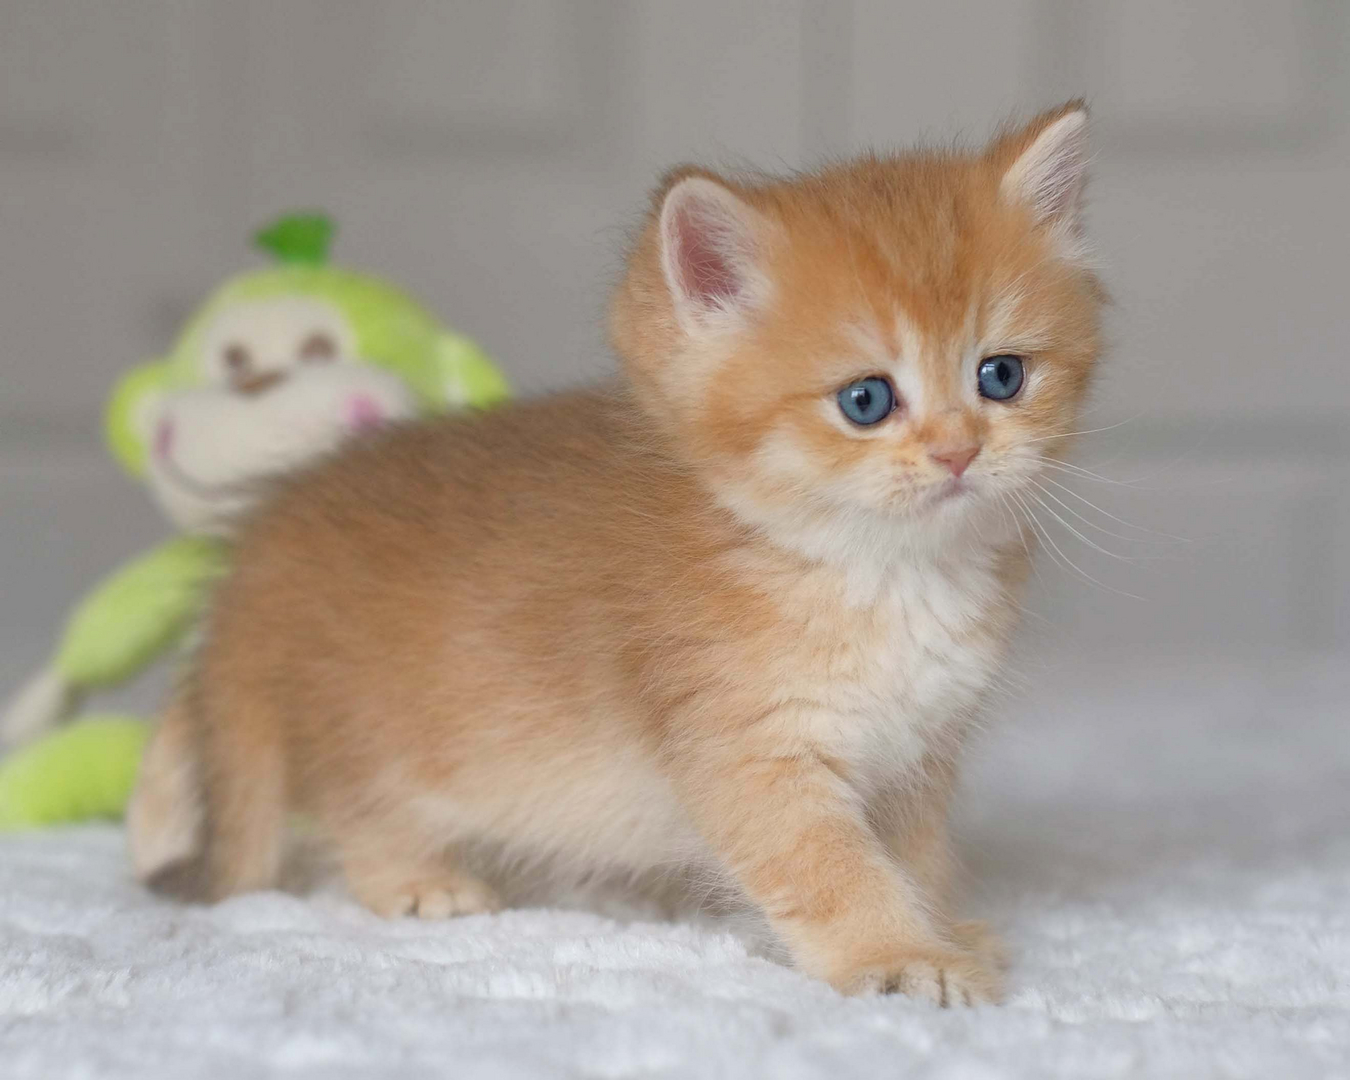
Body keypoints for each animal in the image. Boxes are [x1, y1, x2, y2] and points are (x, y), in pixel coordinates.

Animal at [134, 101, 1107, 1004]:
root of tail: (263, 545)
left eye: (1001, 376)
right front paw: (898, 958)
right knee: (353, 810)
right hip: (368, 735)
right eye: (866, 400)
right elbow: (832, 870)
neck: (880, 575)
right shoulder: (746, 751)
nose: (959, 452)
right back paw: (417, 881)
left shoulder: (917, 756)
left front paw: (943, 929)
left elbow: (916, 858)